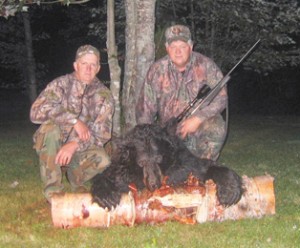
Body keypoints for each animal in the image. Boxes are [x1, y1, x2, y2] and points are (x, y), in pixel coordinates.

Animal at [90, 122, 243, 209]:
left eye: (159, 159)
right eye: (141, 162)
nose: (154, 185)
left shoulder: (185, 165)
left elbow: (205, 167)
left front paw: (229, 192)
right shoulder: (122, 168)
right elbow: (107, 175)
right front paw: (107, 196)